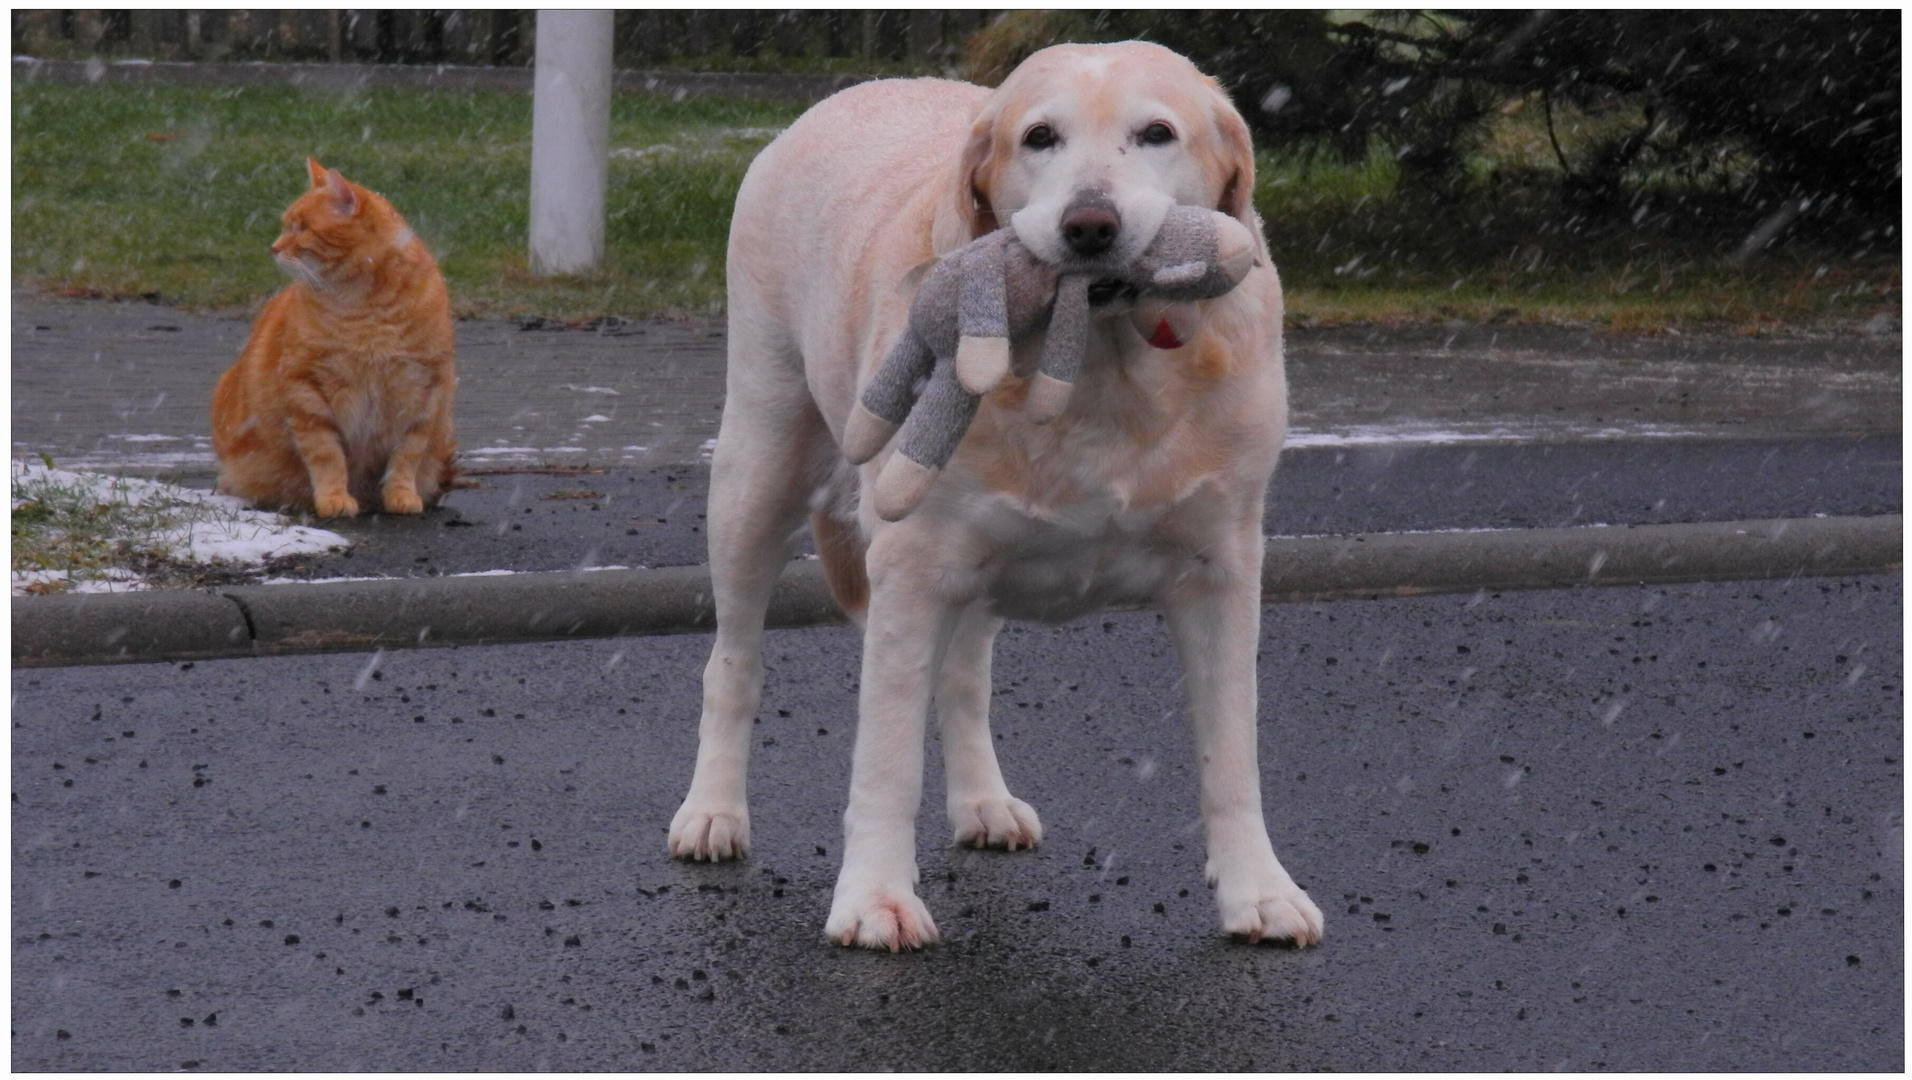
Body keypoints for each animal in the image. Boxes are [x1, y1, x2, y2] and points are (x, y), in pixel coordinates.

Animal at [214, 155, 458, 516]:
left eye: (301, 228)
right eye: (286, 226)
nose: (274, 247)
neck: (367, 305)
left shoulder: (425, 392)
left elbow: (407, 456)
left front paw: (401, 495)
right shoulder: (305, 390)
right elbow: (326, 455)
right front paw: (334, 498)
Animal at [665, 42, 1323, 948]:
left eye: (1157, 133)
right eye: (1040, 137)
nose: (1091, 225)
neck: (1099, 368)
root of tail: (848, 96)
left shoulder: (1222, 569)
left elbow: (1232, 749)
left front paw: (1258, 891)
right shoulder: (908, 569)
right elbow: (886, 758)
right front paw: (874, 898)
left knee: (964, 674)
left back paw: (983, 801)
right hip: (758, 470)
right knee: (732, 661)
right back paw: (713, 813)